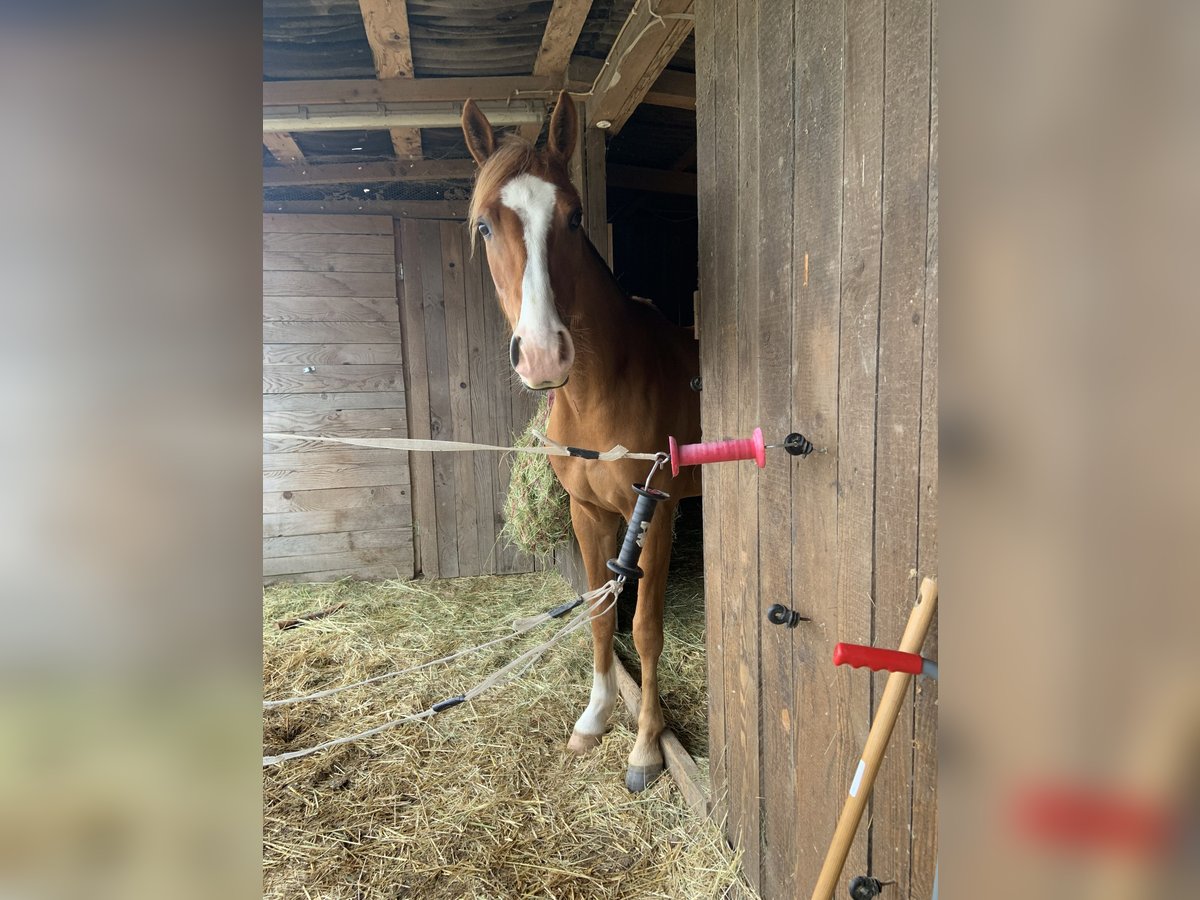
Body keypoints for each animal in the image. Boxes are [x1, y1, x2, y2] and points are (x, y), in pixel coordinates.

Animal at [458, 91, 700, 792]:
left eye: (573, 217)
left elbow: (644, 626)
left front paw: (645, 746)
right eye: (485, 226)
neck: (601, 391)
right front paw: (595, 717)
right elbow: (597, 613)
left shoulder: (658, 513)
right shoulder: (588, 512)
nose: (543, 355)